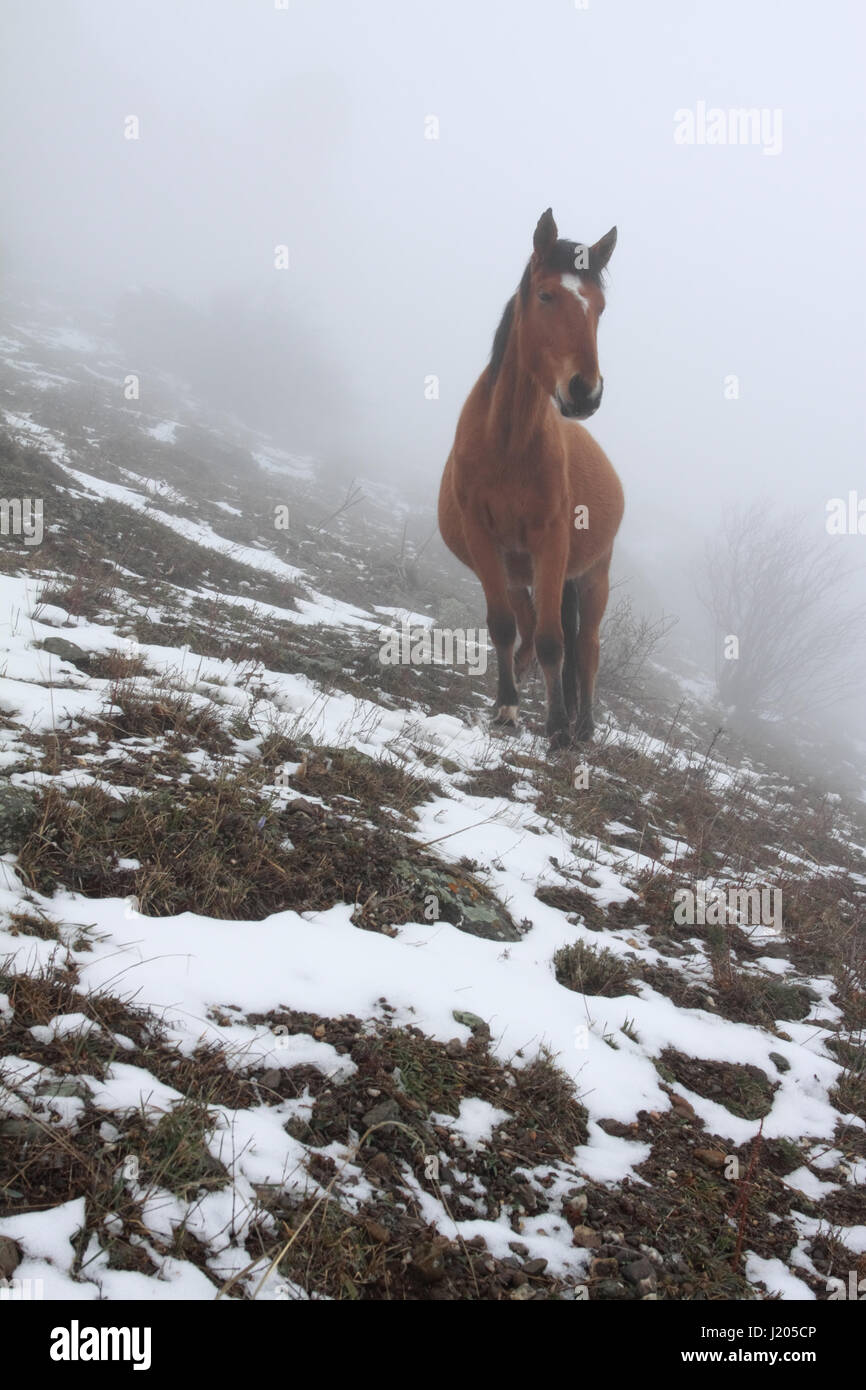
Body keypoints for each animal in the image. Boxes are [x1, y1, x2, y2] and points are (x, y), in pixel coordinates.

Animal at [438, 208, 624, 747]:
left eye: (599, 308)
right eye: (545, 295)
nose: (585, 392)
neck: (508, 442)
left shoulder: (552, 542)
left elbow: (554, 642)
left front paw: (558, 726)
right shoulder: (484, 540)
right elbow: (503, 627)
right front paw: (506, 707)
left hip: (591, 576)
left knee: (586, 646)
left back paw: (584, 725)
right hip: (519, 574)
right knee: (524, 634)